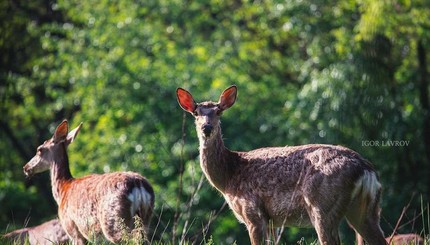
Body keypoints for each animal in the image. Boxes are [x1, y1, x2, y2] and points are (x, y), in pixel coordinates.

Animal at [22, 119, 155, 244]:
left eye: (39, 149)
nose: (26, 167)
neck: (63, 189)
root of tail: (138, 185)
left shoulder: (72, 228)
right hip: (146, 217)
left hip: (114, 218)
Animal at [176, 85, 388, 245]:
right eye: (196, 113)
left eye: (218, 111)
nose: (207, 127)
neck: (229, 175)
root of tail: (365, 169)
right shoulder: (272, 221)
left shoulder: (253, 212)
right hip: (366, 210)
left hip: (323, 206)